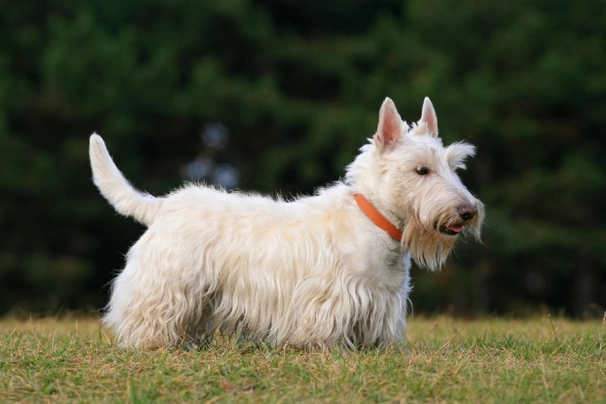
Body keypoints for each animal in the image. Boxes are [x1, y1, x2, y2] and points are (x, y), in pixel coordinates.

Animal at [89, 96, 484, 348]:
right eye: (421, 170)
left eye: (454, 166)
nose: (467, 212)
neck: (375, 219)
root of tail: (163, 206)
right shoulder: (331, 299)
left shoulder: (384, 302)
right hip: (168, 285)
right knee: (149, 315)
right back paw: (150, 344)